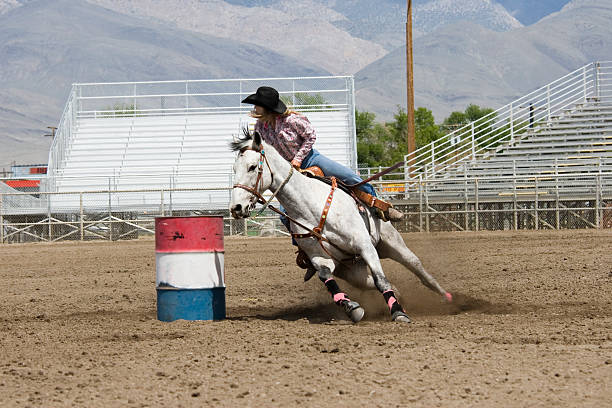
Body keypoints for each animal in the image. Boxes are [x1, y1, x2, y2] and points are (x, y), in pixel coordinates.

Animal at [228, 130, 450, 322]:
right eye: (234, 169)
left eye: (252, 167)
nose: (236, 208)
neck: (311, 207)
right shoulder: (320, 258)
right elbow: (327, 277)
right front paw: (352, 307)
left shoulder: (365, 246)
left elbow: (381, 280)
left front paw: (399, 313)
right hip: (352, 270)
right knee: (372, 282)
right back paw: (400, 297)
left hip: (392, 244)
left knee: (417, 267)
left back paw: (445, 297)